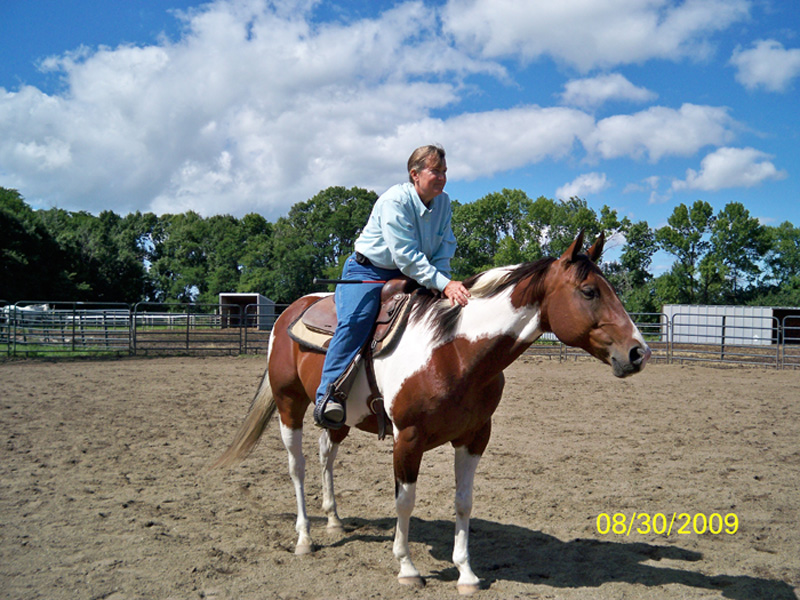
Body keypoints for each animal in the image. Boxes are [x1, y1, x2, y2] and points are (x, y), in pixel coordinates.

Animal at [213, 231, 651, 595]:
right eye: (590, 291)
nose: (638, 352)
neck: (453, 350)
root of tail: (289, 313)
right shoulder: (407, 438)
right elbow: (404, 501)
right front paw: (407, 567)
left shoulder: (475, 437)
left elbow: (464, 501)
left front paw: (467, 574)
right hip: (290, 404)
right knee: (297, 466)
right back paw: (305, 537)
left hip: (337, 418)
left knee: (326, 454)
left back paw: (335, 518)